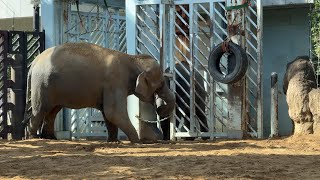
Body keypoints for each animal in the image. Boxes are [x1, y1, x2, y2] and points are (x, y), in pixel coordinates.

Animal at [23, 41, 175, 142]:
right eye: (161, 84)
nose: (160, 108)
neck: (133, 59)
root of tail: (34, 62)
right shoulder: (115, 80)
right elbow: (114, 112)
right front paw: (137, 141)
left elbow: (107, 114)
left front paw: (114, 142)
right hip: (42, 85)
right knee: (40, 110)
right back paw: (33, 138)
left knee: (52, 111)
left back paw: (50, 138)